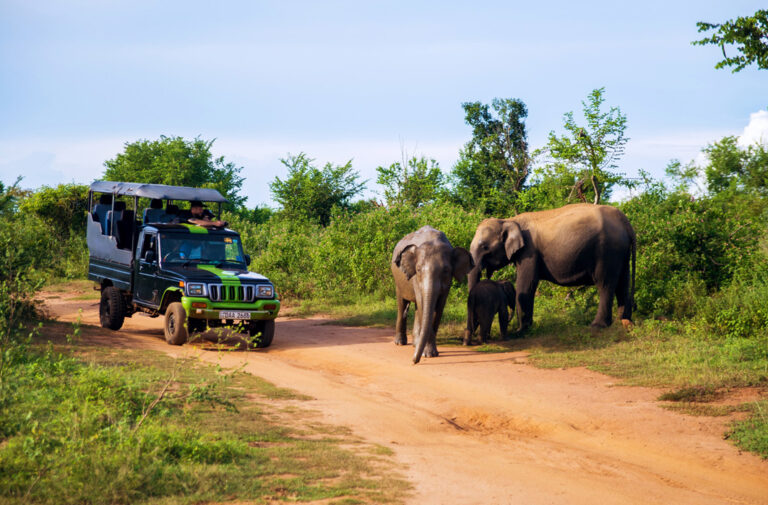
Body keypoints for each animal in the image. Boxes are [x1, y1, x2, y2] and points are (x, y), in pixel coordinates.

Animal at [390, 224, 474, 362]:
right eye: (418, 269)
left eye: (446, 270)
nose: (414, 361)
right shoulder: (415, 279)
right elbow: (423, 304)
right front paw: (427, 354)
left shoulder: (447, 284)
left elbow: (438, 307)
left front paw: (430, 353)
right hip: (398, 280)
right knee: (402, 305)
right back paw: (400, 342)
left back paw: (415, 344)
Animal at [468, 203, 636, 332]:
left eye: (484, 247)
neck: (509, 220)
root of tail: (625, 222)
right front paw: (527, 328)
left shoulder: (529, 252)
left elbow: (526, 284)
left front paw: (520, 331)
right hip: (621, 252)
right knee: (623, 282)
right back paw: (623, 322)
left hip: (607, 250)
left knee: (605, 284)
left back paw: (597, 326)